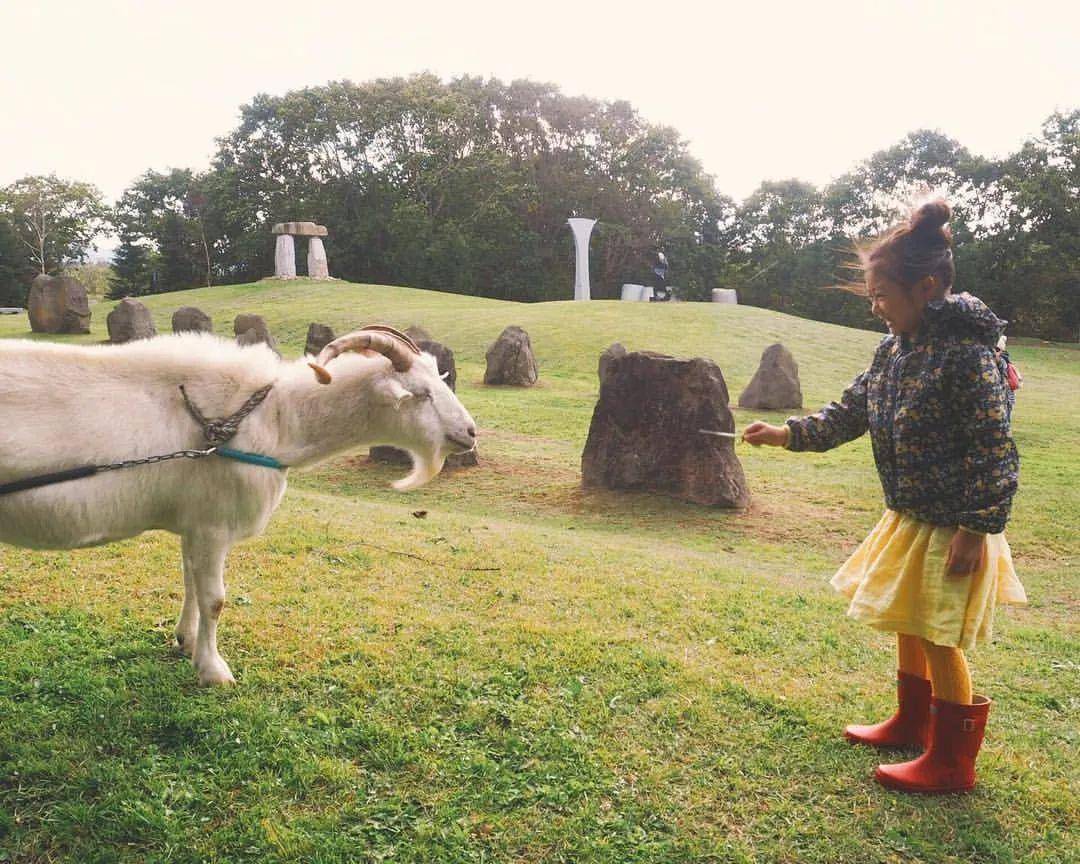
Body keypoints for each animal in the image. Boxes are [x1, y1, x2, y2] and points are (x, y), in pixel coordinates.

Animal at [0, 328, 477, 686]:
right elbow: (214, 599)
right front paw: (214, 671)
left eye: (441, 381)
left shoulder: (194, 522)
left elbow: (190, 583)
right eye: (420, 394)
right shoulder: (214, 524)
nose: (470, 433)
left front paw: (186, 642)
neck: (277, 417)